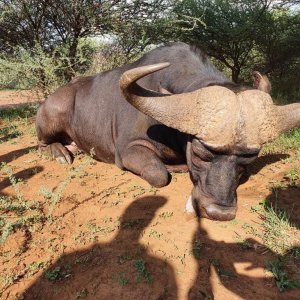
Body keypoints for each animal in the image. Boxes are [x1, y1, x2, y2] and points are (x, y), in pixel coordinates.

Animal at [35, 42, 300, 220]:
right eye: (201, 153)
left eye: (249, 160)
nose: (219, 213)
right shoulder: (129, 150)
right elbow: (159, 175)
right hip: (54, 115)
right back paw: (60, 152)